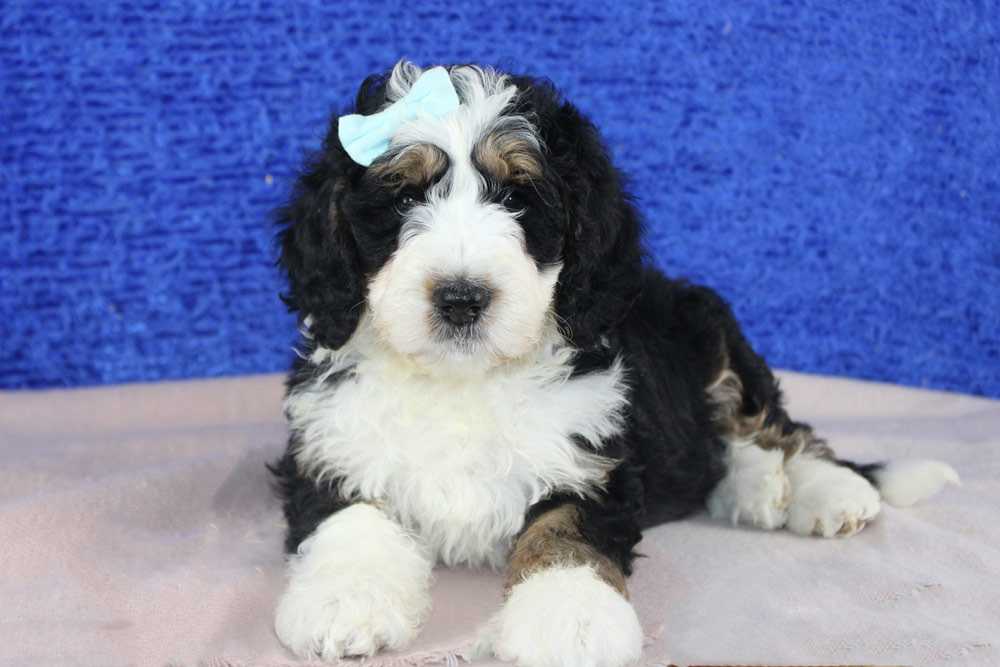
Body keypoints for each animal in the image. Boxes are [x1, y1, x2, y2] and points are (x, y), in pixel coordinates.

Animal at [269, 62, 959, 666]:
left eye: (518, 199)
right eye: (403, 199)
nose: (461, 299)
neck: (464, 380)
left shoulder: (593, 458)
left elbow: (565, 532)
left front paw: (570, 619)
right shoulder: (330, 441)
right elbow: (350, 514)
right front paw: (343, 600)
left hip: (714, 339)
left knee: (773, 427)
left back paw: (827, 491)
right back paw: (756, 488)